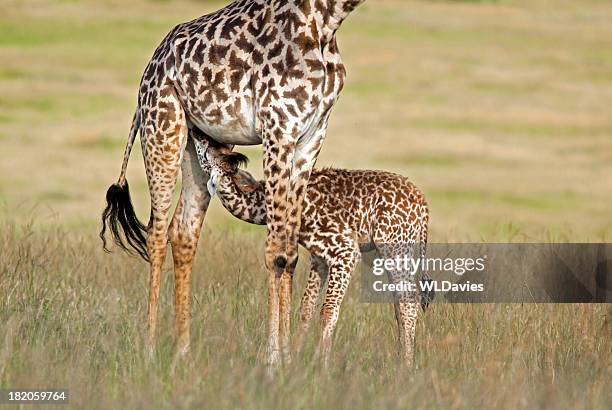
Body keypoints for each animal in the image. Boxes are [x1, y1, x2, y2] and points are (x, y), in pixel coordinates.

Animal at [99, 0, 364, 366]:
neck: (326, 20)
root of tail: (150, 68)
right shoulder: (278, 128)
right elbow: (276, 252)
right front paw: (274, 360)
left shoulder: (311, 136)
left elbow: (290, 252)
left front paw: (288, 359)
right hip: (162, 128)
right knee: (156, 233)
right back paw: (150, 351)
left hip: (197, 144)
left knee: (183, 232)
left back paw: (184, 352)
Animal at [195, 138, 430, 368]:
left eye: (207, 153)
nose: (201, 137)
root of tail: (423, 204)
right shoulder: (319, 258)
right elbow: (306, 308)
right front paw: (297, 357)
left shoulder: (345, 252)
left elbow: (328, 311)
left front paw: (322, 366)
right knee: (400, 302)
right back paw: (400, 359)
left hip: (395, 246)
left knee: (409, 302)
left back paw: (406, 366)